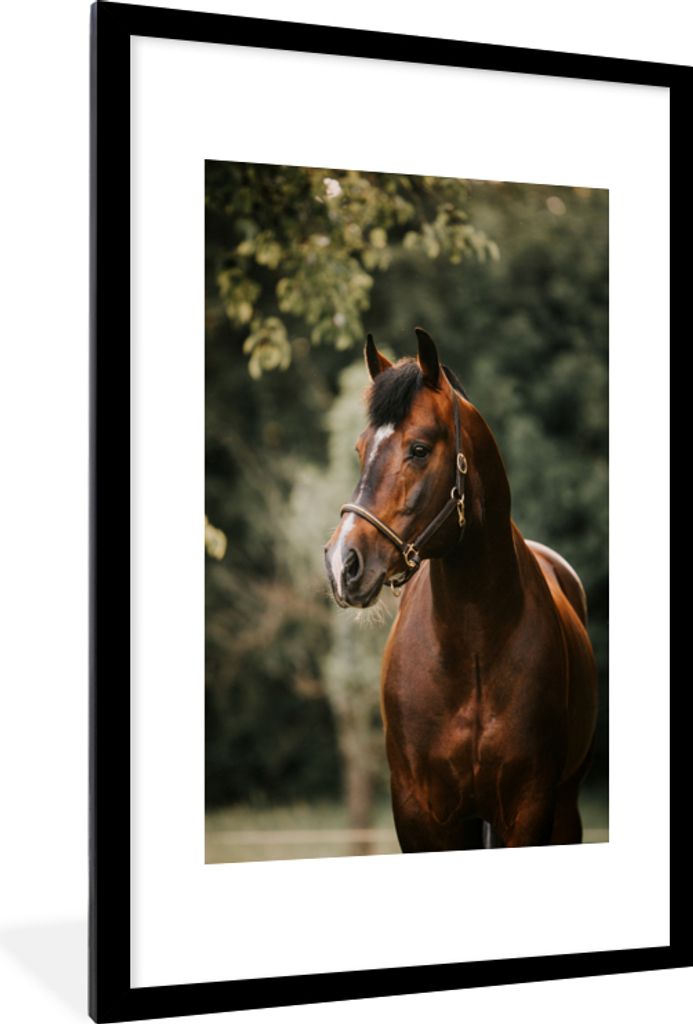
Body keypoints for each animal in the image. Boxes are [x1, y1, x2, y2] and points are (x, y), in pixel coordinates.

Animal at [324, 328, 597, 850]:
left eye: (418, 449)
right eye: (360, 449)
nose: (343, 563)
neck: (472, 647)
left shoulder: (529, 808)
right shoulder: (420, 814)